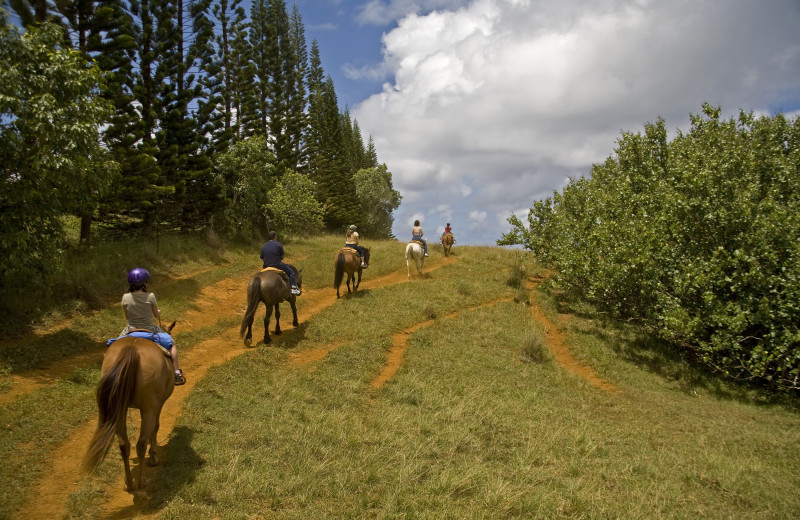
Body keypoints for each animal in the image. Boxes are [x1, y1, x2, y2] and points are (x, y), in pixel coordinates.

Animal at [83, 322, 177, 502]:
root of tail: (131, 349)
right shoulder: (157, 405)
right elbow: (155, 428)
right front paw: (153, 457)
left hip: (119, 410)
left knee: (124, 445)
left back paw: (129, 482)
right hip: (148, 408)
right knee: (140, 444)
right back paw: (141, 481)